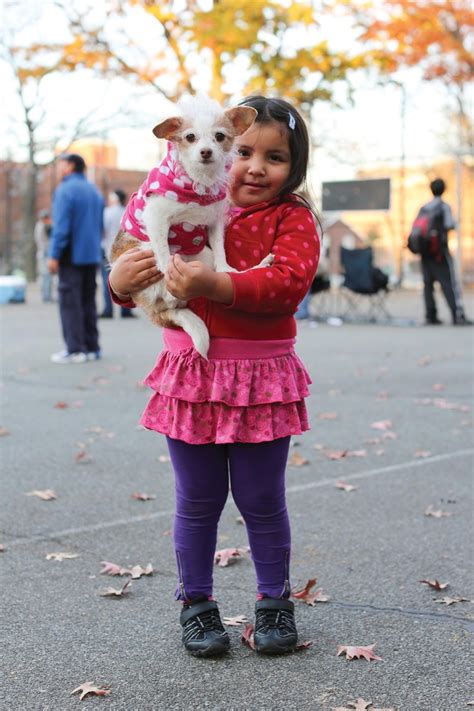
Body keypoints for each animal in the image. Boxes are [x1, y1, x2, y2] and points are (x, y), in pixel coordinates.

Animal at [111, 96, 272, 356]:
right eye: (190, 137)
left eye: (219, 136)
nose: (205, 151)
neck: (199, 182)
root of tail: (158, 312)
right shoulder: (155, 217)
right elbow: (164, 254)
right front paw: (168, 268)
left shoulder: (215, 222)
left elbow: (220, 251)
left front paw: (226, 266)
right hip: (145, 250)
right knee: (167, 284)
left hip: (203, 257)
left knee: (222, 276)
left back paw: (253, 267)